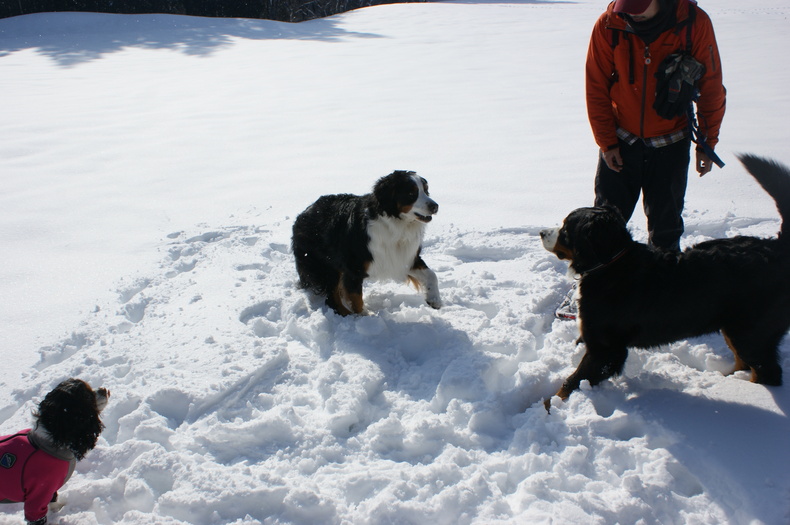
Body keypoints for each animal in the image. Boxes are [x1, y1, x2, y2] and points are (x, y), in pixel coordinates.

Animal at [292, 171, 442, 316]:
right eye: (411, 193)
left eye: (426, 190)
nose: (435, 206)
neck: (395, 224)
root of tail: (302, 214)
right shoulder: (353, 268)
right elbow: (356, 298)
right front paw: (364, 317)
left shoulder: (404, 257)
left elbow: (431, 275)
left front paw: (434, 299)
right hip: (325, 266)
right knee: (332, 298)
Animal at [544, 154, 790, 408]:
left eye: (565, 229)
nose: (542, 233)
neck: (611, 263)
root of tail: (776, 246)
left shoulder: (605, 349)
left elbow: (571, 382)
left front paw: (552, 406)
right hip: (734, 326)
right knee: (743, 361)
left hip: (751, 333)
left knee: (766, 371)